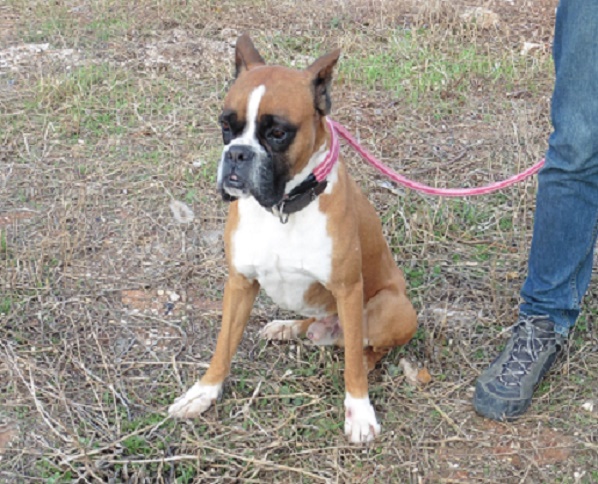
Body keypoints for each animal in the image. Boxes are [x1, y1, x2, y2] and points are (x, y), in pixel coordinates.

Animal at [168, 34, 417, 443]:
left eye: (278, 133)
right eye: (226, 125)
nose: (237, 154)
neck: (282, 209)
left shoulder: (348, 289)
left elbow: (353, 363)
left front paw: (359, 410)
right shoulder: (239, 283)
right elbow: (223, 344)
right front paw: (204, 392)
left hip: (394, 309)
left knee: (363, 347)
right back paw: (287, 327)